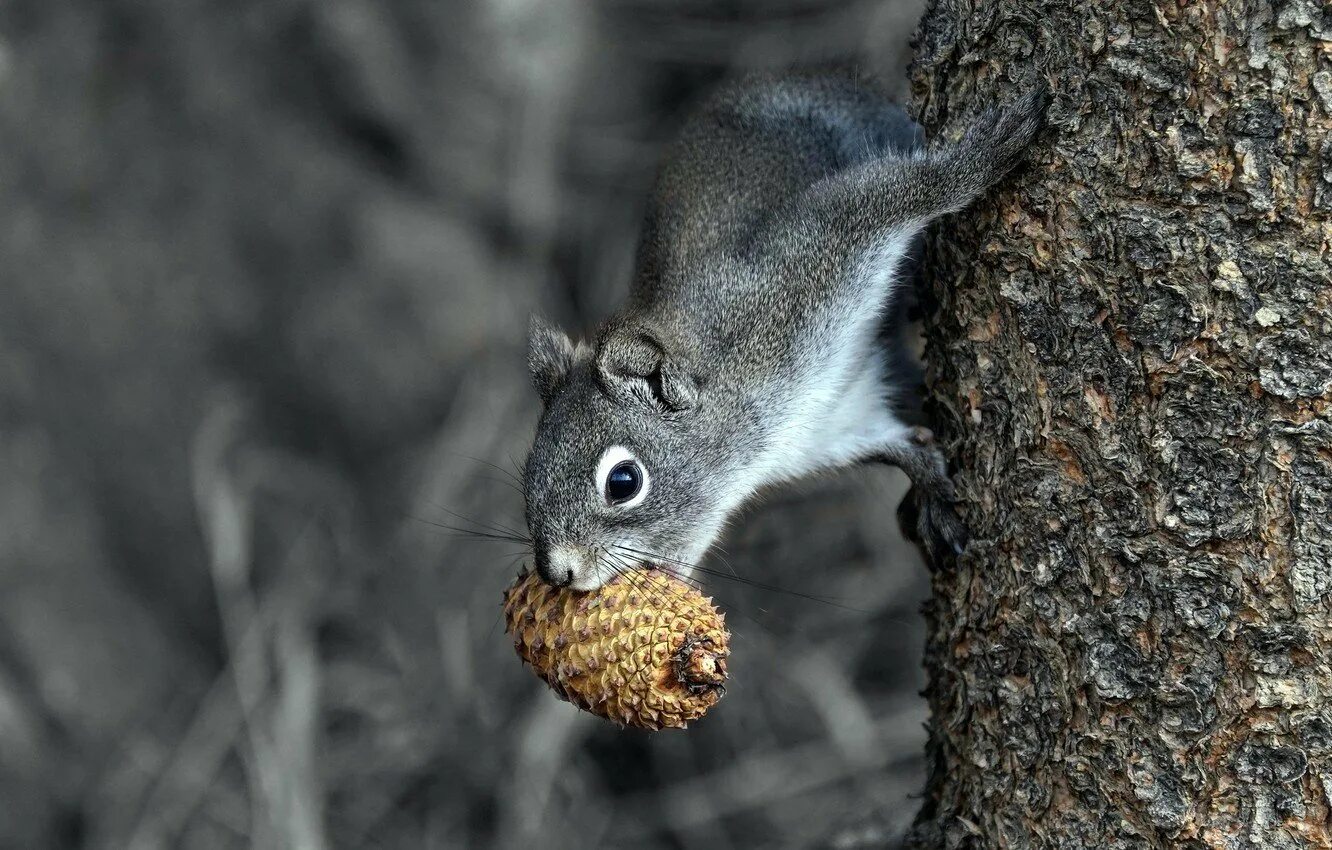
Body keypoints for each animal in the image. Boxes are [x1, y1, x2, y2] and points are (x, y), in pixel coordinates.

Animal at [522, 71, 1047, 590]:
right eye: (528, 471)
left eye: (623, 482)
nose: (560, 574)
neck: (758, 440)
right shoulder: (835, 428)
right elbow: (892, 442)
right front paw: (928, 483)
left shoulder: (799, 268)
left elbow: (891, 196)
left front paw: (980, 156)